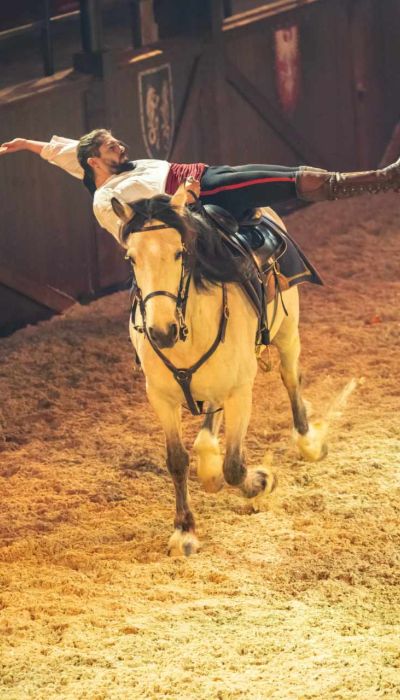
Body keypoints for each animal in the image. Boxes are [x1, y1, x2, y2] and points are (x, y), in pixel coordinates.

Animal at [111, 180, 327, 556]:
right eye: (131, 258)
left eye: (180, 253)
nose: (161, 331)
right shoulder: (161, 398)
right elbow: (177, 461)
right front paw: (184, 531)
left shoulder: (241, 392)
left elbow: (234, 466)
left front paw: (261, 481)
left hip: (288, 332)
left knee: (290, 380)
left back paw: (306, 441)